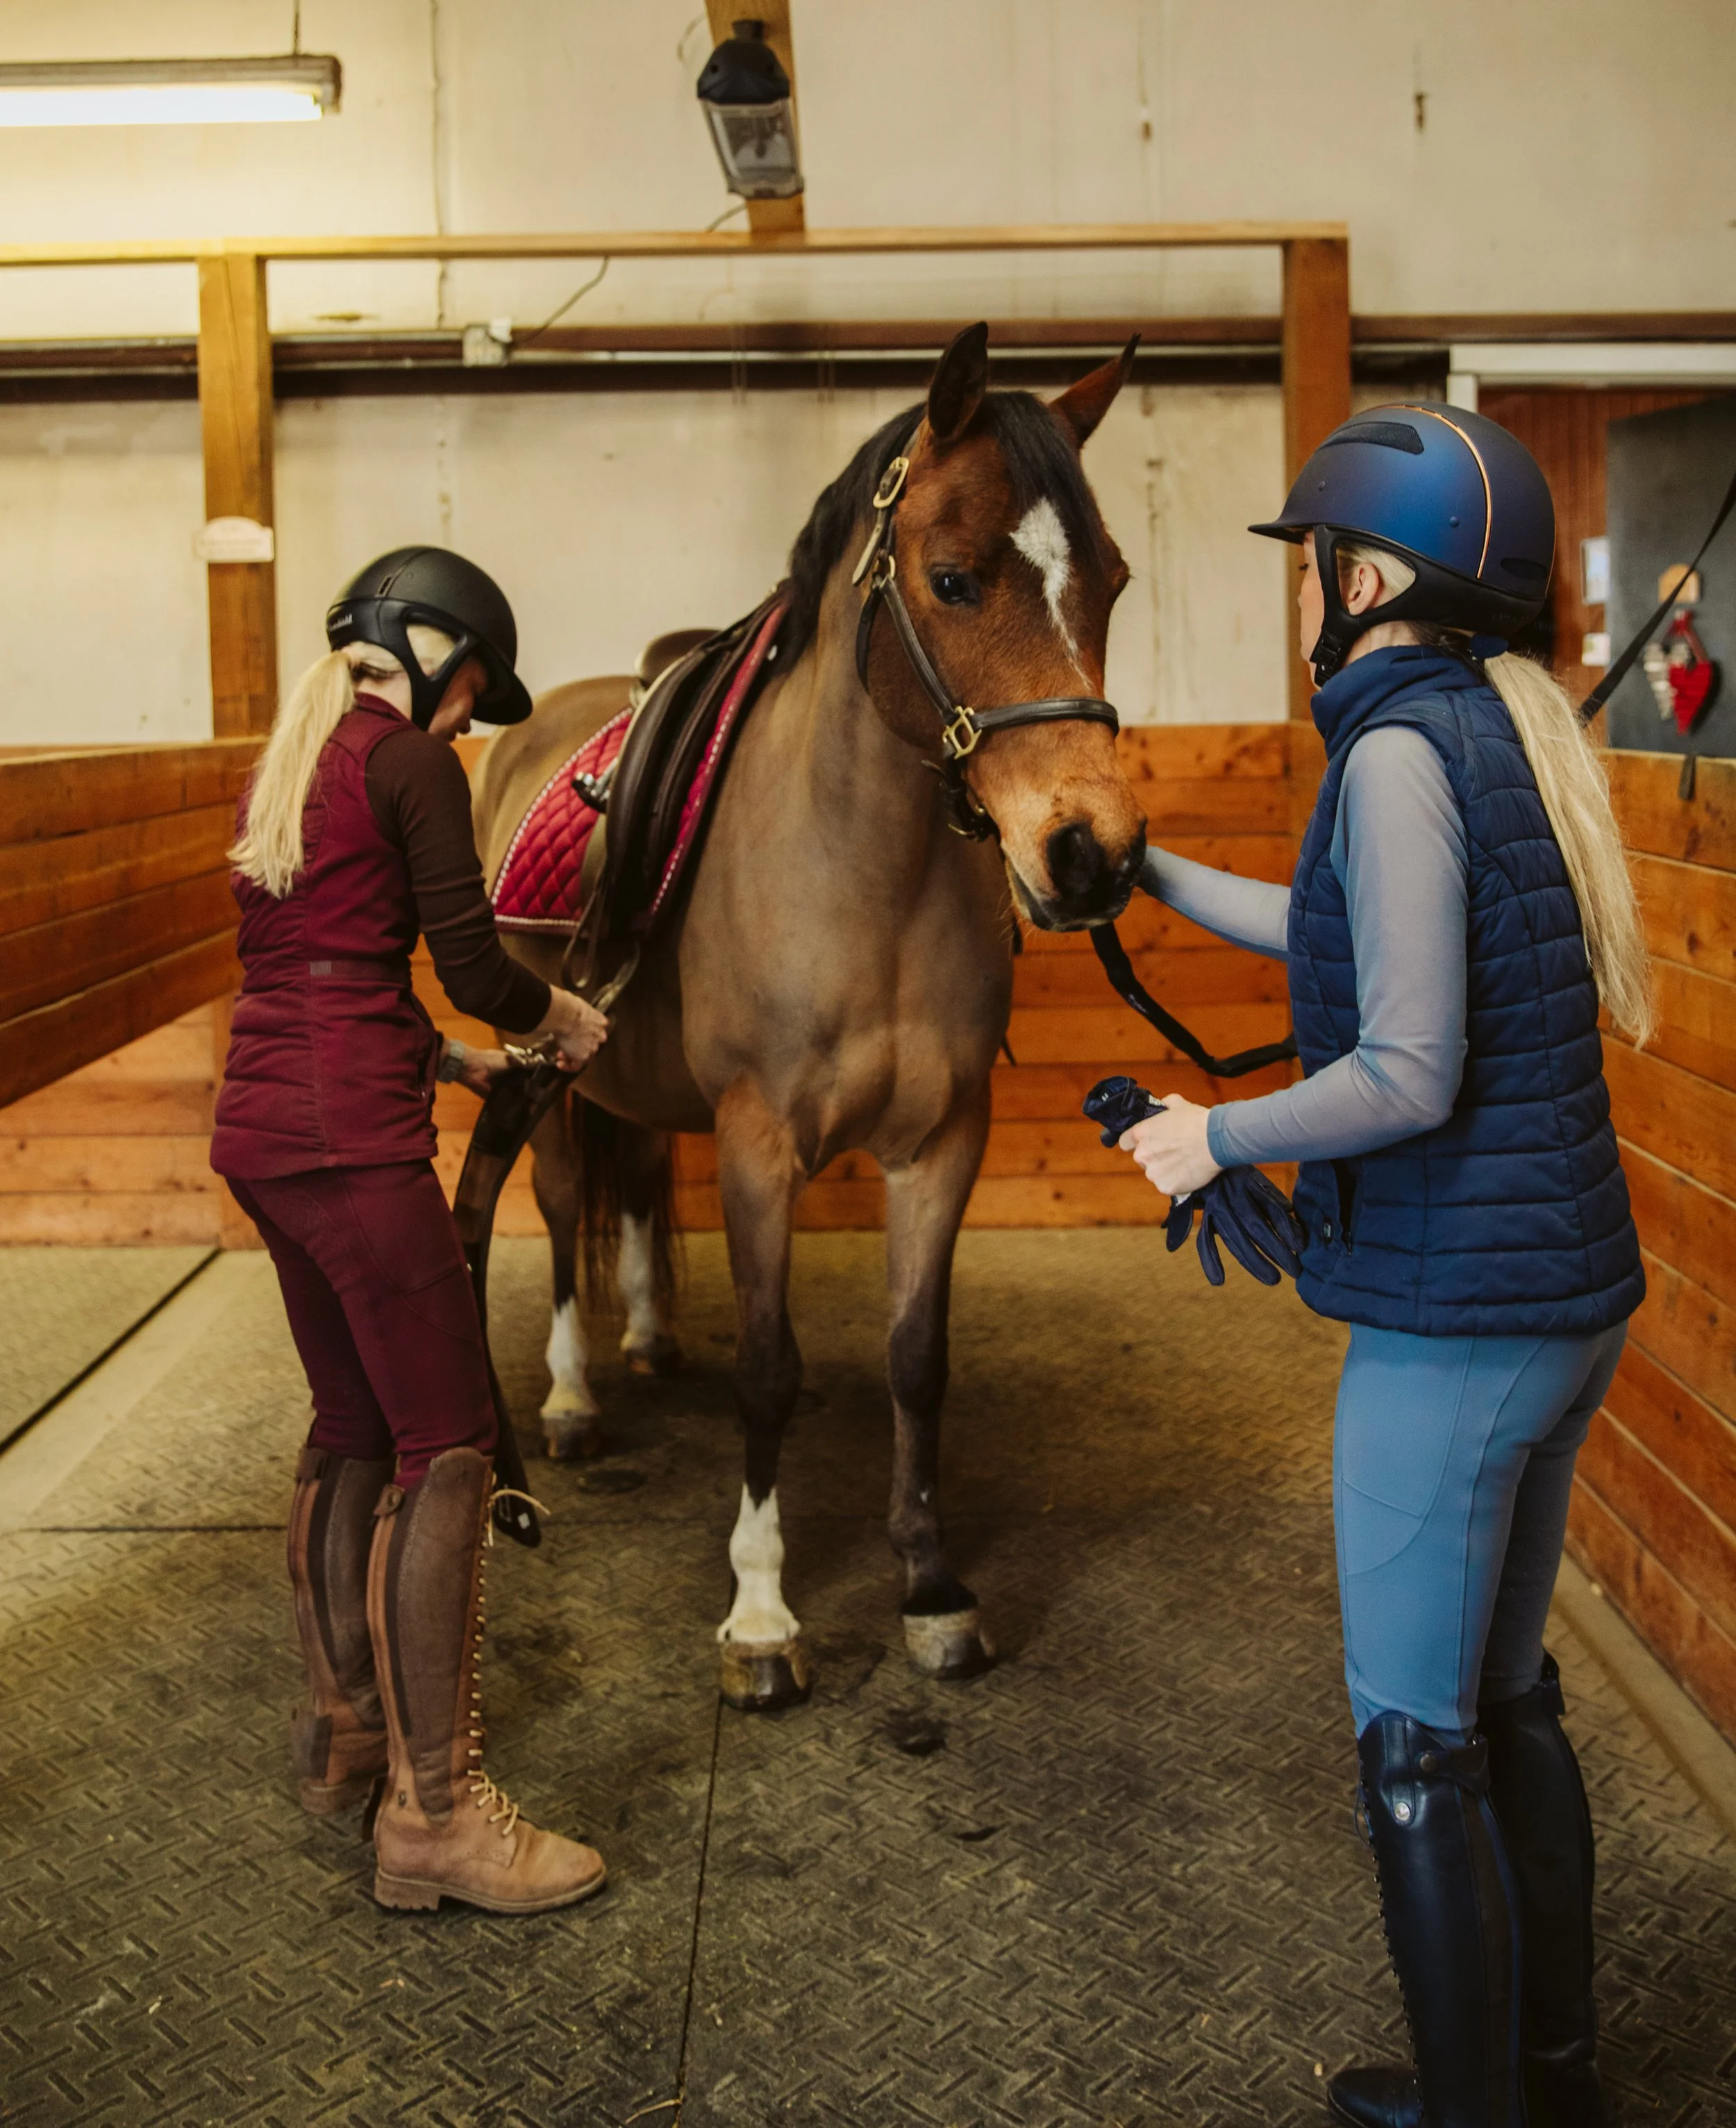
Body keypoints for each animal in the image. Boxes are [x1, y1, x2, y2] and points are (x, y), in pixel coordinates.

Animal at [471, 324, 1148, 1708]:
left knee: (636, 1185)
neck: (860, 875)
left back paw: (648, 1335)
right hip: (555, 1078)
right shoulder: (759, 1145)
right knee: (565, 1212)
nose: (1091, 855)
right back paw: (570, 1401)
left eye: (1108, 581)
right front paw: (762, 1614)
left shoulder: (942, 1144)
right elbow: (770, 1370)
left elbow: (915, 1355)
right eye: (953, 580)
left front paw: (932, 1587)